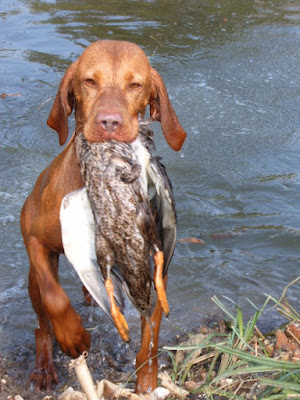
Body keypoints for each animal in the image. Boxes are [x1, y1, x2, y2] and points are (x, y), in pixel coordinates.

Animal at [20, 41, 185, 394]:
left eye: (135, 84)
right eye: (89, 81)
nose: (110, 122)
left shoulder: (155, 259)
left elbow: (151, 331)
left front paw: (146, 382)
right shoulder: (34, 239)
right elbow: (55, 298)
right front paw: (73, 336)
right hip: (33, 279)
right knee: (42, 321)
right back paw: (44, 366)